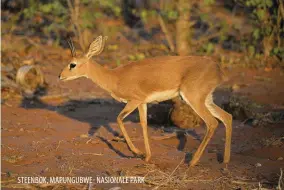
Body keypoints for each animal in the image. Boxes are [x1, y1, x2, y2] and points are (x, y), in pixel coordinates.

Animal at [58, 35, 232, 166]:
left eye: (72, 64)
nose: (60, 76)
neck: (115, 77)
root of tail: (217, 68)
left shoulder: (134, 101)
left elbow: (119, 119)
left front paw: (137, 152)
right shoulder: (143, 103)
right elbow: (143, 124)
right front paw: (147, 156)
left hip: (193, 98)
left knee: (212, 123)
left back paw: (193, 161)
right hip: (206, 99)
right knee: (227, 117)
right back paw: (225, 161)